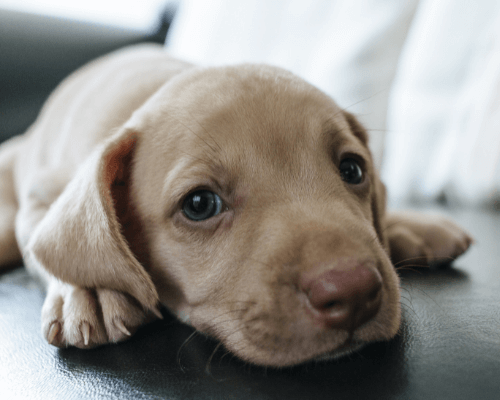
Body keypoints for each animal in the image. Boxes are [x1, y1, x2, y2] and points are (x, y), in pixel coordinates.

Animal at [0, 44, 472, 368]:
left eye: (353, 170)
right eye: (199, 204)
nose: (354, 291)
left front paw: (404, 225)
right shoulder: (40, 195)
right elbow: (53, 245)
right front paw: (92, 290)